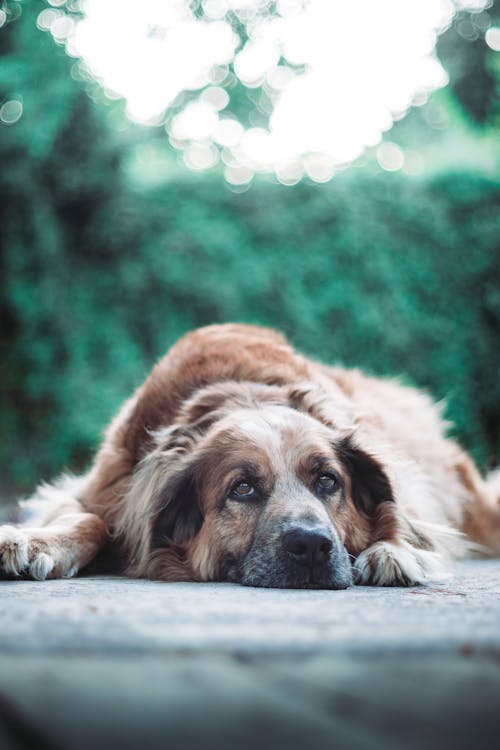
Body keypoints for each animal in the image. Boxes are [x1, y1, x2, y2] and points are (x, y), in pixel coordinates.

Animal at [0, 326, 500, 592]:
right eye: (243, 488)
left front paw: (392, 550)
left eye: (328, 481)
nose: (312, 546)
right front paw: (37, 541)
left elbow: (399, 512)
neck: (244, 394)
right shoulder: (105, 488)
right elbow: (91, 520)